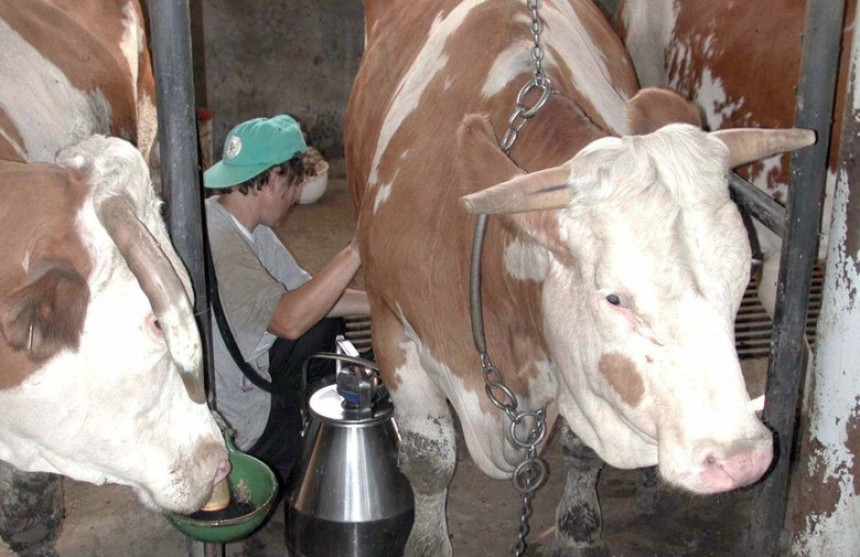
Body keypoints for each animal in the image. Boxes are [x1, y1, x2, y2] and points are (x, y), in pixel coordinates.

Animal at [348, 1, 812, 556]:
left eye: (740, 283)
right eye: (614, 298)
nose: (741, 459)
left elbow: (581, 451)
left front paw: (577, 528)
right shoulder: (392, 327)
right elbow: (428, 458)